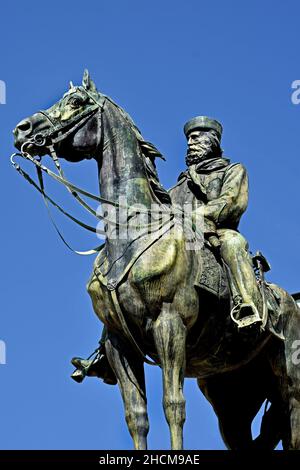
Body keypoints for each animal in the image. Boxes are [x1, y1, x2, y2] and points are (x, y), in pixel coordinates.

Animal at [12, 70, 300, 452]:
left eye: (75, 102)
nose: (22, 129)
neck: (131, 233)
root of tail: (291, 302)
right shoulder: (118, 342)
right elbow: (137, 415)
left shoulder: (169, 324)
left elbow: (173, 405)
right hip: (231, 394)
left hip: (290, 387)